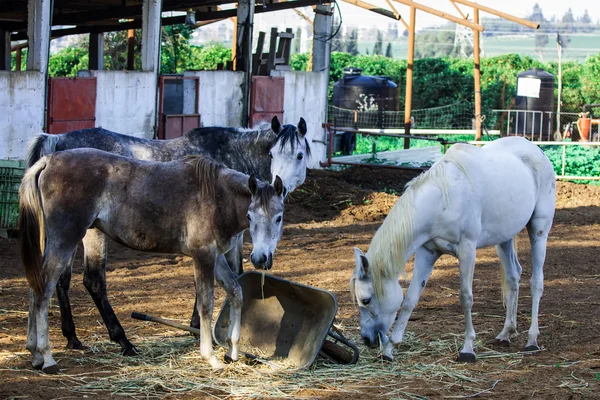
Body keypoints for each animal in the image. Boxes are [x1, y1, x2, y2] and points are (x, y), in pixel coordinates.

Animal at [24, 115, 310, 354]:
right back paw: (122, 341)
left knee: (59, 280)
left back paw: (71, 338)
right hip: (88, 233)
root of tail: (56, 142)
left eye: (299, 155)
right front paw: (198, 327)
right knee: (92, 281)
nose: (279, 185)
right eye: (272, 153)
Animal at [350, 137, 556, 362]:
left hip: (539, 230)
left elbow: (466, 297)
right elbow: (410, 299)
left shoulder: (467, 250)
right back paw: (506, 333)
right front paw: (389, 350)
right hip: (504, 239)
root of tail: (534, 148)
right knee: (513, 277)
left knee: (536, 282)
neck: (443, 198)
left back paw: (532, 340)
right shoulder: (427, 252)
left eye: (366, 300)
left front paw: (467, 348)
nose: (367, 340)